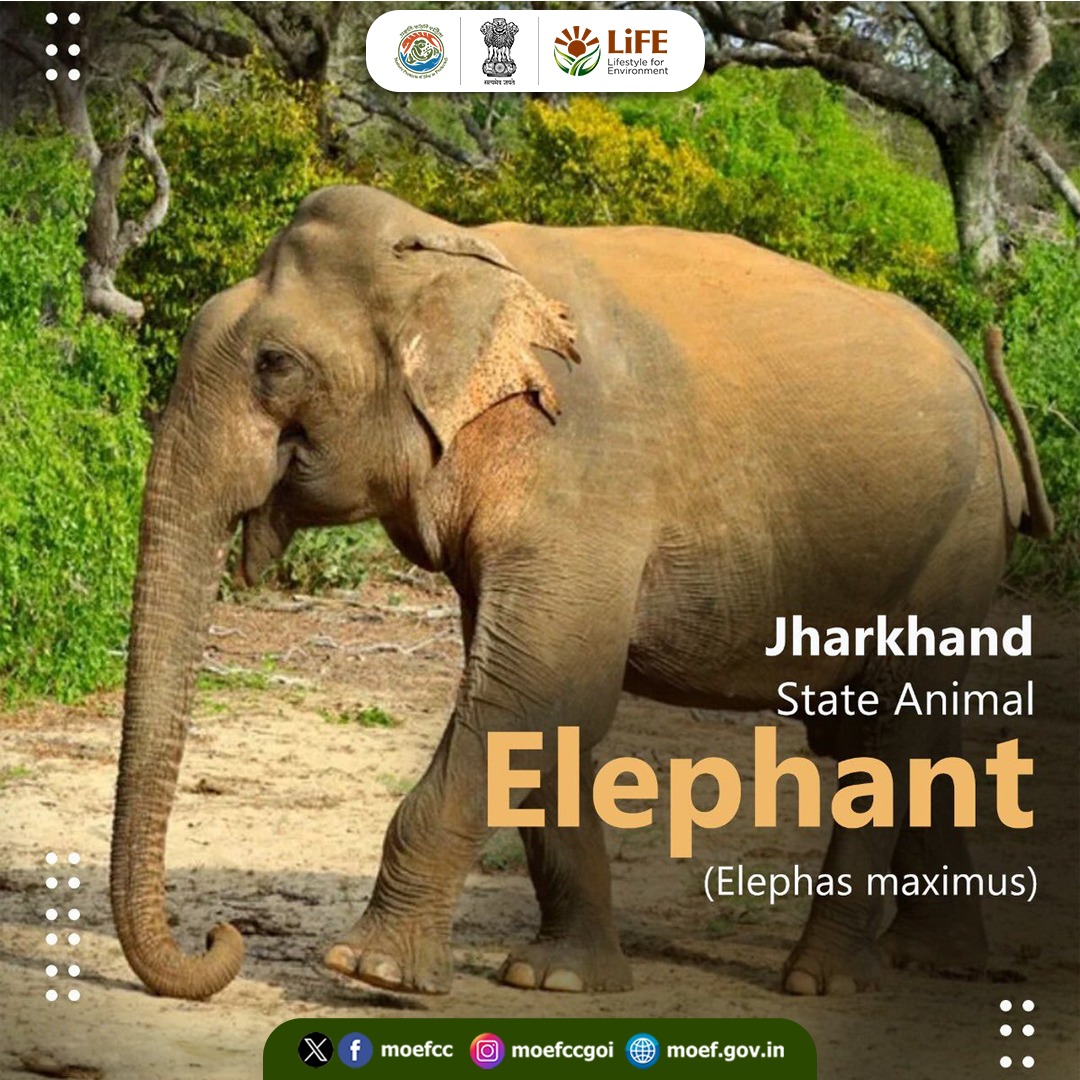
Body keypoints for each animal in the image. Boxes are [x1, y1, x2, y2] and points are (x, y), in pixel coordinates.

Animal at [110, 184, 1052, 1001]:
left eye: (275, 364)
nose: (219, 935)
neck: (452, 247)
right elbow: (548, 704)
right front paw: (557, 980)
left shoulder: (584, 471)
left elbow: (532, 690)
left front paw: (370, 972)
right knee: (908, 732)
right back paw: (935, 963)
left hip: (953, 540)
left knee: (886, 737)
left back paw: (826, 982)